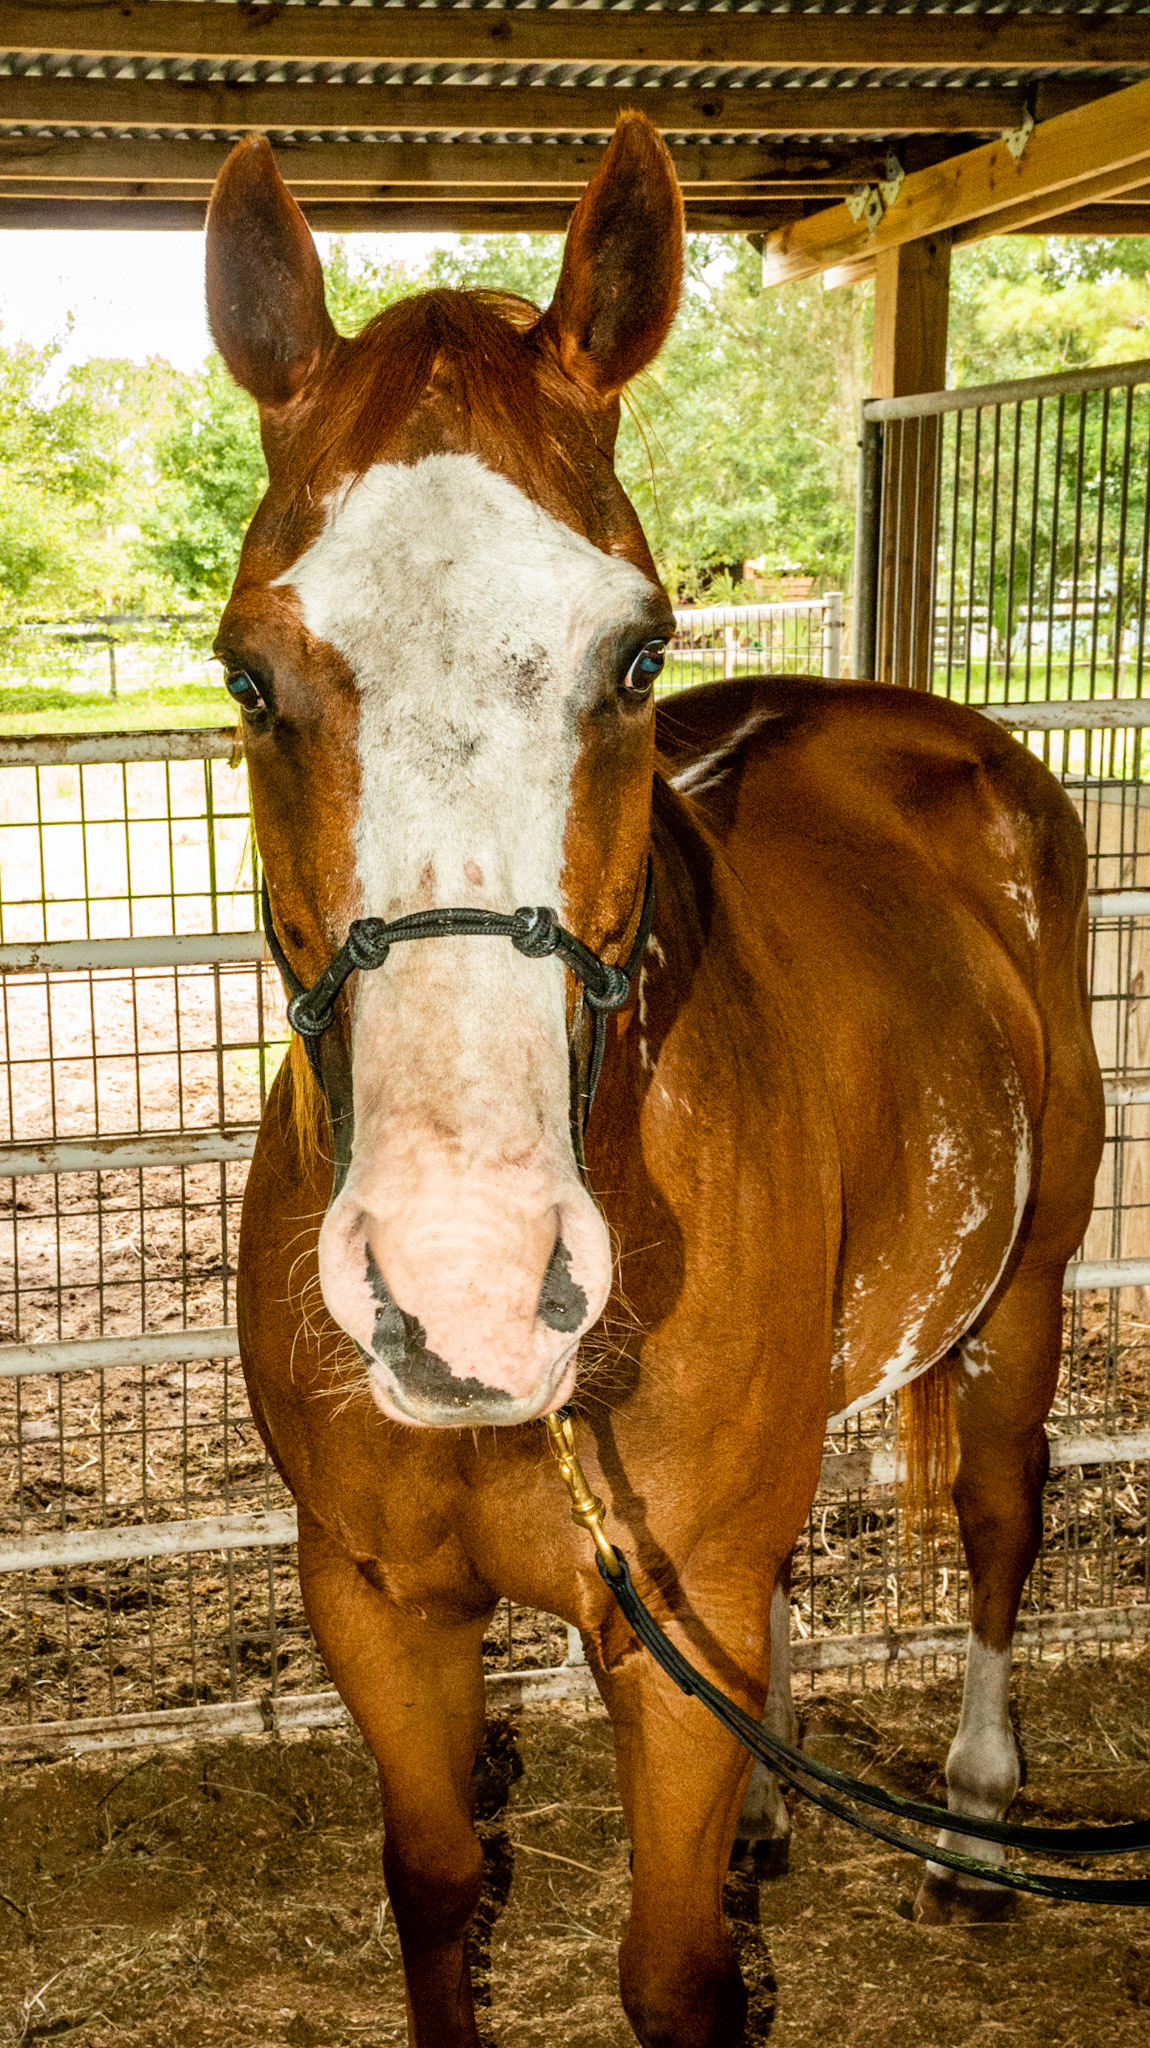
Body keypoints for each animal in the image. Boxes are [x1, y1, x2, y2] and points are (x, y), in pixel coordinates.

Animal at [210, 116, 1104, 2047]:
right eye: (248, 674)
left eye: (636, 655)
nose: (462, 1283)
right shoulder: (381, 1608)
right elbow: (438, 1891)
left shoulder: (666, 1638)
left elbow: (676, 1976)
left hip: (1025, 1297)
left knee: (999, 1526)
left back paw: (972, 1833)